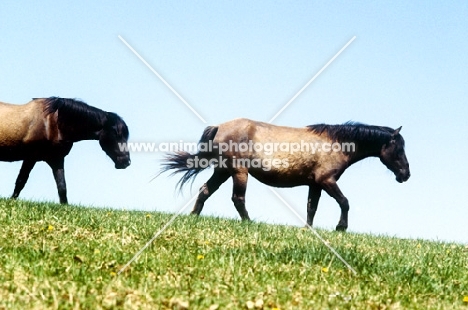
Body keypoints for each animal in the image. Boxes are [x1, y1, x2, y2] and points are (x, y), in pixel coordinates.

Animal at [0, 97, 131, 203]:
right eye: (116, 134)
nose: (126, 162)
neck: (52, 124)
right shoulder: (30, 157)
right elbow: (21, 181)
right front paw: (12, 201)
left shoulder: (57, 159)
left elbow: (62, 187)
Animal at [162, 118, 410, 230]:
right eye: (399, 148)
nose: (405, 174)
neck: (337, 143)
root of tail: (219, 127)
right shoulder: (326, 181)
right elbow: (345, 202)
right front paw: (341, 227)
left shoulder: (315, 184)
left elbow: (311, 207)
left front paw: (308, 229)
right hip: (239, 171)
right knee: (238, 198)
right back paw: (249, 222)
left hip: (222, 171)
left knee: (205, 191)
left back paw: (194, 217)